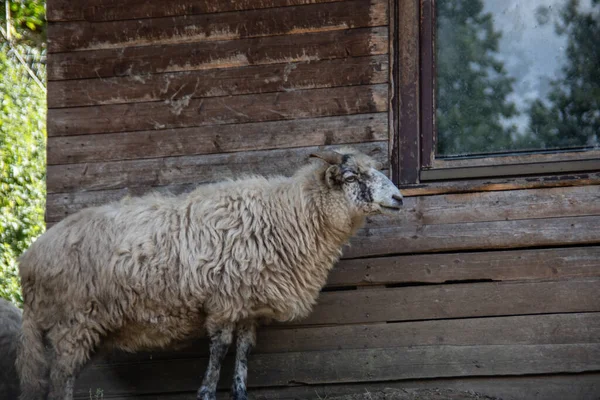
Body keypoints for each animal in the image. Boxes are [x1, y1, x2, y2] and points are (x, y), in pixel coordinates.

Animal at [17, 148, 404, 400]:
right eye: (351, 177)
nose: (399, 199)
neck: (288, 215)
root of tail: (30, 259)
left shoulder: (249, 306)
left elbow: (243, 351)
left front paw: (240, 393)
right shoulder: (224, 301)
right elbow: (219, 349)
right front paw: (205, 392)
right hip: (72, 322)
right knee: (61, 378)